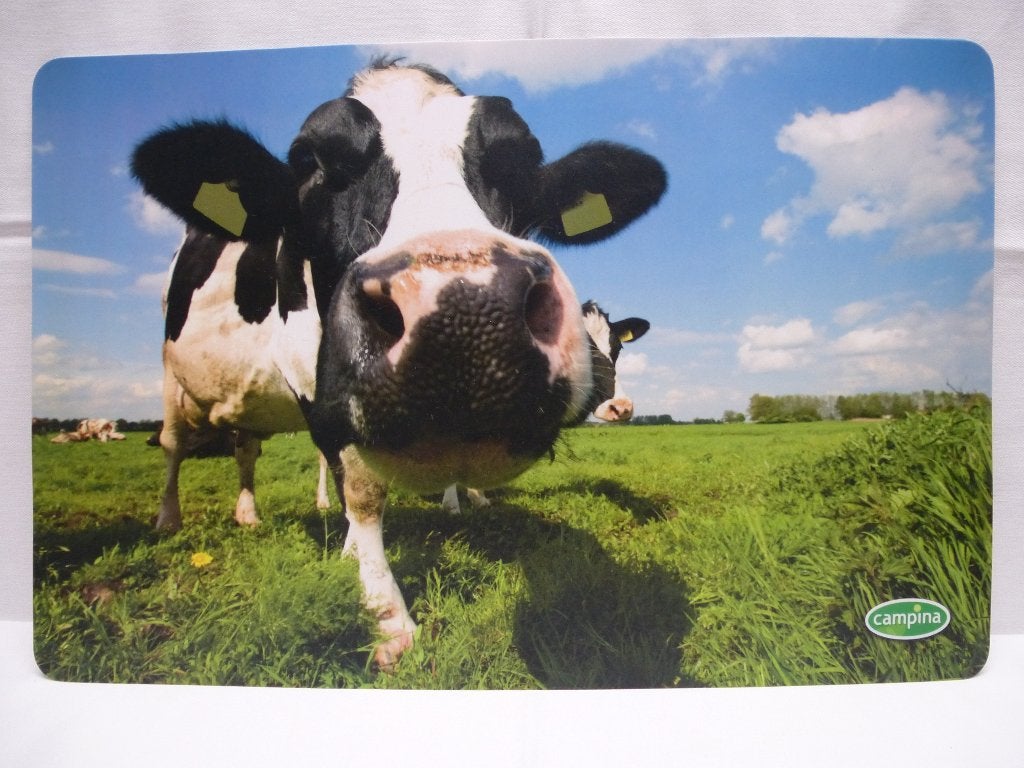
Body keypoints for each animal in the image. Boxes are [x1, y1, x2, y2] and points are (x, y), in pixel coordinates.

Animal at [130, 58, 666, 667]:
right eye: (311, 164)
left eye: (521, 162)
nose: (465, 309)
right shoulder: (313, 378)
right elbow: (362, 492)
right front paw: (386, 616)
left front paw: (457, 506)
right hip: (172, 376)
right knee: (175, 445)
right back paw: (168, 519)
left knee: (247, 448)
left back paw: (251, 513)